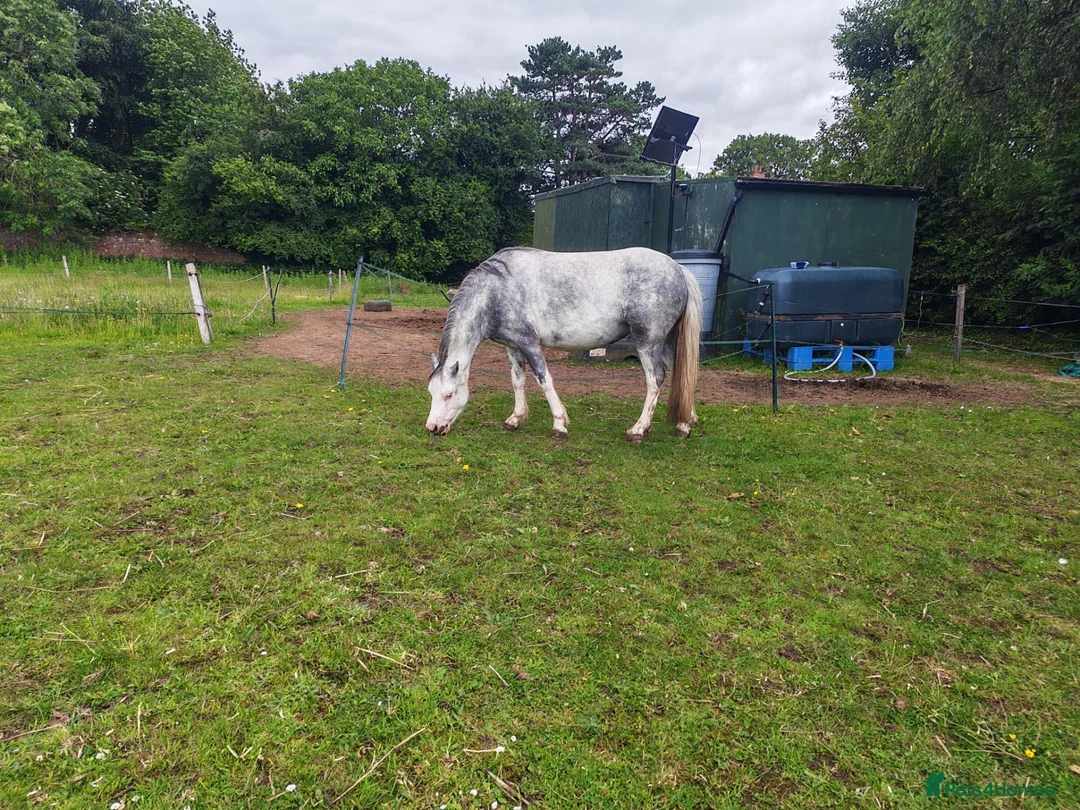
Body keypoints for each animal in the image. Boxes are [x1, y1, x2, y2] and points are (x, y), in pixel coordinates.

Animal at [425, 247, 702, 442]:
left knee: (655, 379)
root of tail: (678, 269)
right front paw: (516, 418)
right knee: (683, 375)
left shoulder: (530, 343)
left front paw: (559, 424)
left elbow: (544, 379)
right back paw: (684, 424)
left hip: (647, 341)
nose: (433, 427)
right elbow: (517, 380)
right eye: (431, 392)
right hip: (666, 343)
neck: (495, 291)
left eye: (449, 394)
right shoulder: (513, 346)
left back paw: (639, 429)